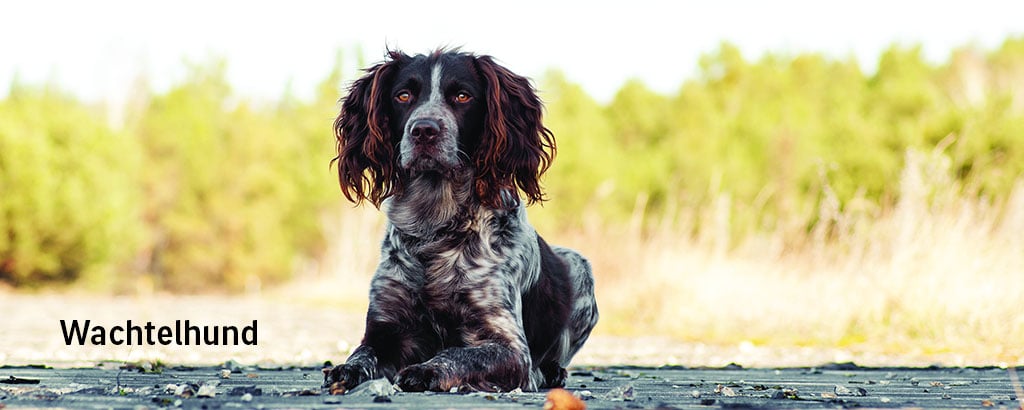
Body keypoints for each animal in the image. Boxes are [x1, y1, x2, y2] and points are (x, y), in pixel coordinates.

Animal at [323, 49, 598, 391]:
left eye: (463, 96)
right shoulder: (386, 328)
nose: (424, 130)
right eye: (403, 95)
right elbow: (362, 354)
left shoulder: (511, 347)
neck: (434, 226)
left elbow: (458, 353)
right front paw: (345, 369)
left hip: (579, 265)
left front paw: (425, 370)